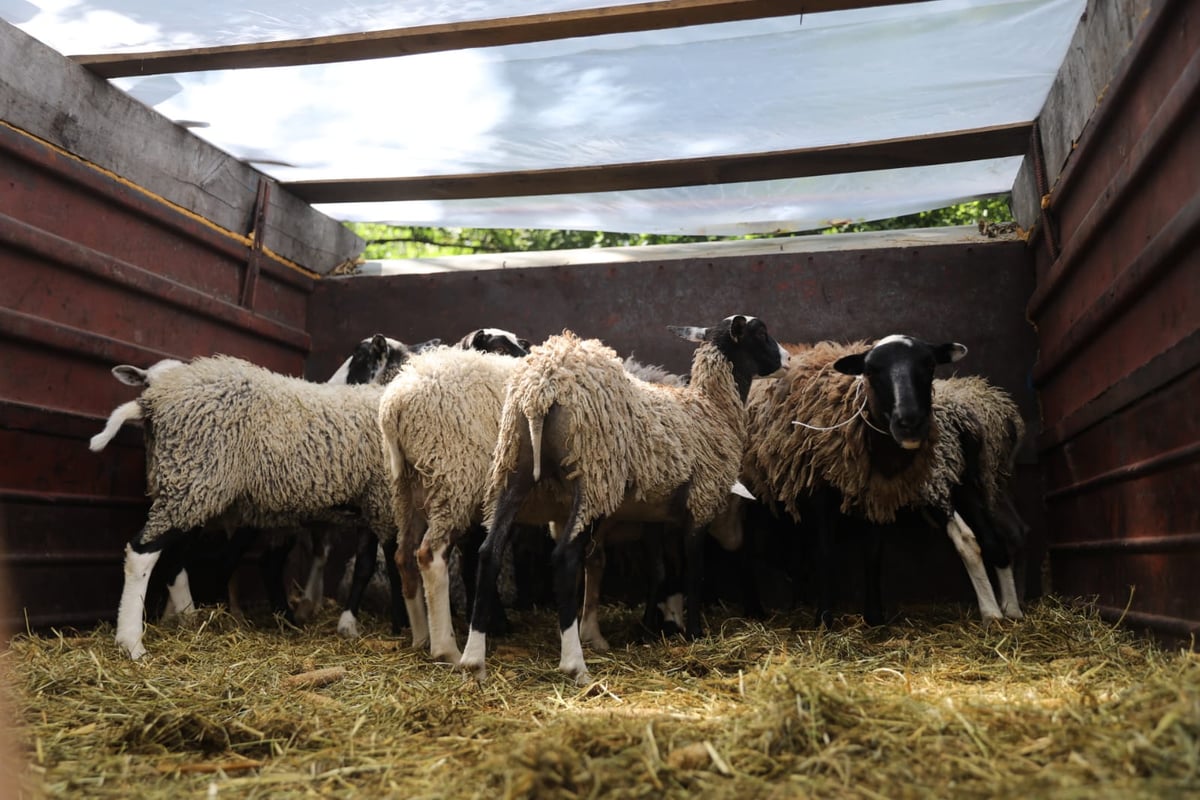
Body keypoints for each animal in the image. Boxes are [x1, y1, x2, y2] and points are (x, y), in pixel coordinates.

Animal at [458, 316, 787, 686]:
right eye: (761, 332)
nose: (788, 359)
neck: (712, 407)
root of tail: (542, 386)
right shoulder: (700, 501)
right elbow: (694, 571)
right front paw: (694, 633)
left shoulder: (655, 515)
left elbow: (660, 571)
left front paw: (651, 628)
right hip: (592, 477)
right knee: (564, 557)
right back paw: (575, 664)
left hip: (513, 468)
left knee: (489, 552)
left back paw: (474, 660)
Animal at [744, 335, 1027, 628]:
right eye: (871, 370)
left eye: (929, 364)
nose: (909, 422)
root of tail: (967, 418)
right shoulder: (833, 490)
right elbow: (832, 552)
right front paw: (835, 617)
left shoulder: (867, 492)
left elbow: (862, 553)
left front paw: (857, 617)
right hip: (965, 481)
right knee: (994, 540)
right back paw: (1009, 609)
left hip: (944, 482)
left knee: (971, 540)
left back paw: (994, 611)